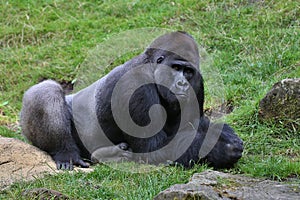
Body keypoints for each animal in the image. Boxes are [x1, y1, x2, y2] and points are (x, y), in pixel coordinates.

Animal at [19, 30, 243, 170]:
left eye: (187, 71)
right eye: (176, 68)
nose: (182, 84)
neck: (150, 66)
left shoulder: (197, 83)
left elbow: (194, 127)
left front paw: (222, 135)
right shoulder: (134, 87)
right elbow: (154, 148)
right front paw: (221, 149)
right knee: (46, 91)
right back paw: (66, 153)